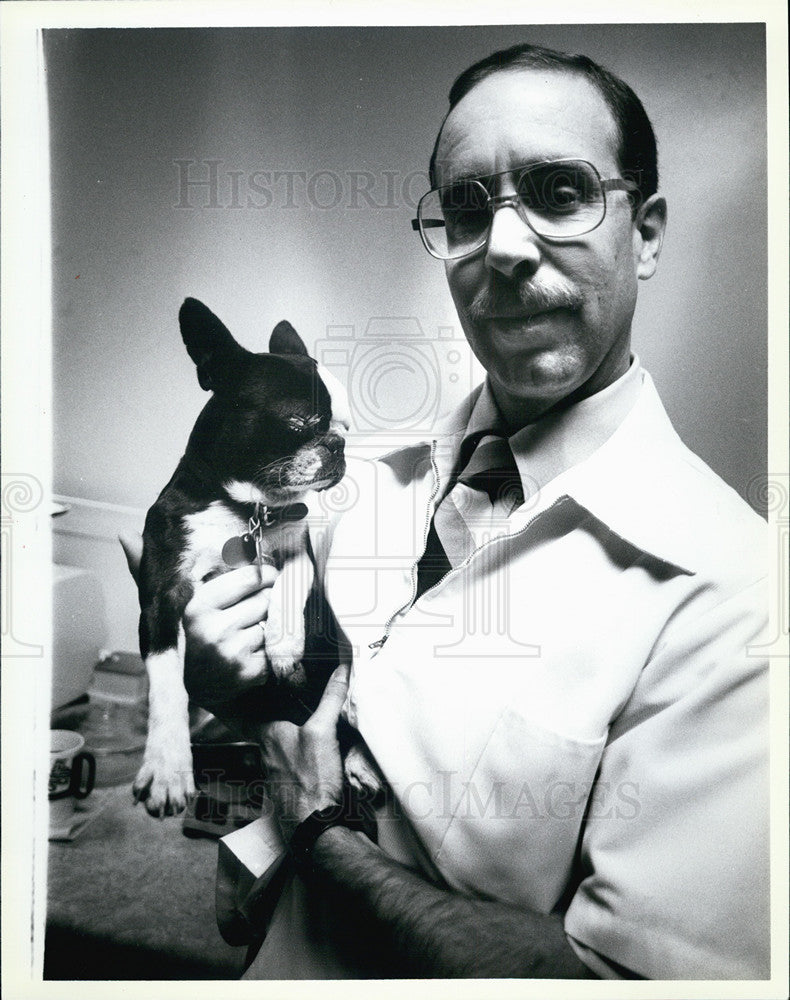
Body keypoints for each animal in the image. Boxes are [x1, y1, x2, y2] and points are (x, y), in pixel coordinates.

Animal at [135, 294, 356, 812]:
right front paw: (168, 765)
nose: (338, 443)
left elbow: (291, 584)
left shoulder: (296, 548)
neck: (244, 510)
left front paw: (283, 643)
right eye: (300, 421)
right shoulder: (161, 595)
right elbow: (166, 678)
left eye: (345, 426)